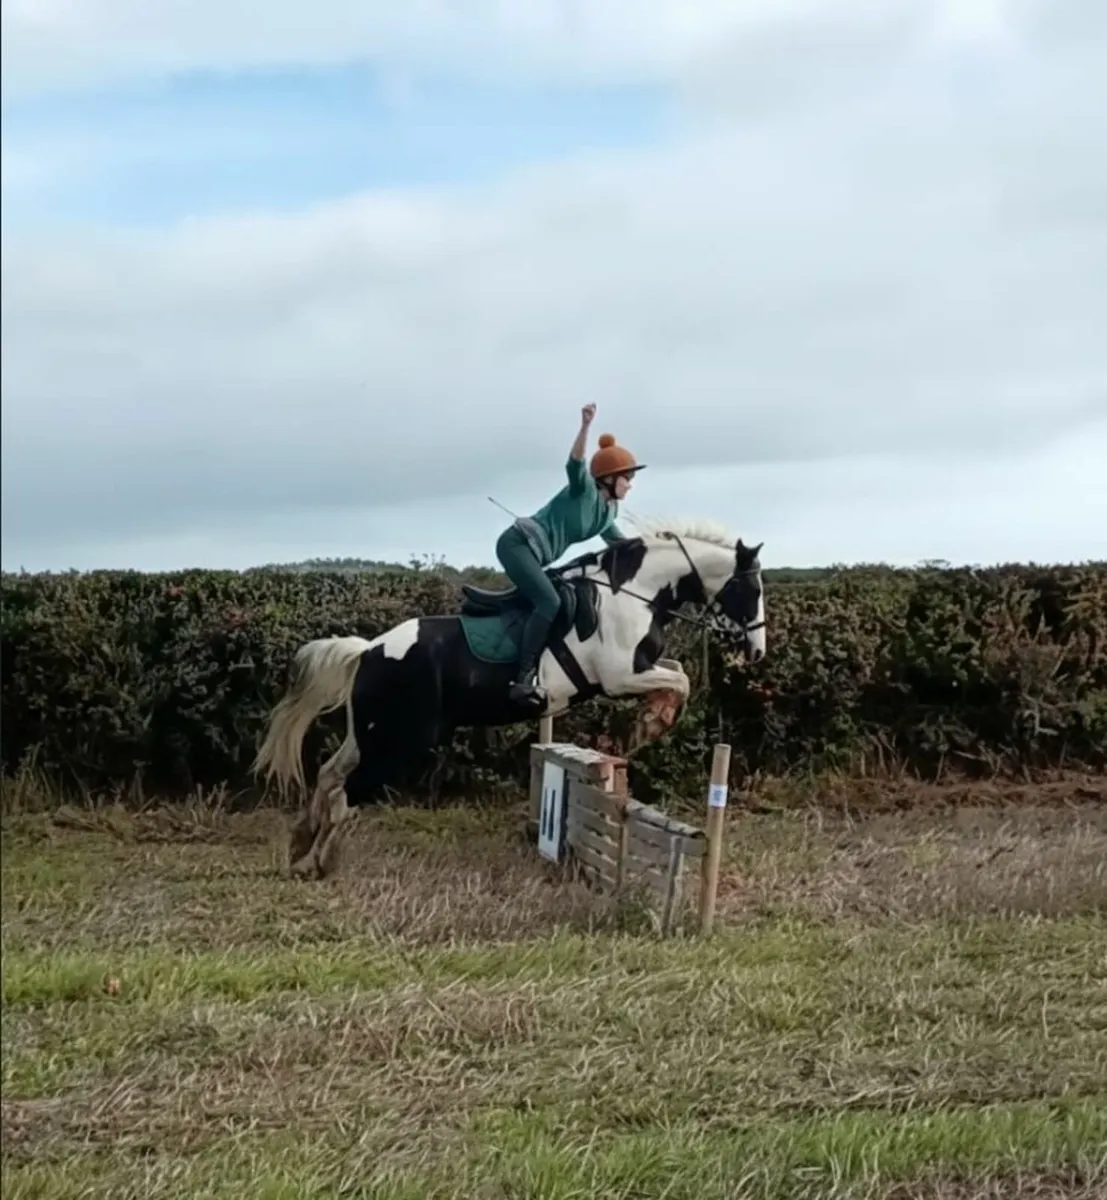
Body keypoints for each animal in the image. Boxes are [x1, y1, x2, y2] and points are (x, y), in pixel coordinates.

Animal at [252, 519, 767, 877]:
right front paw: (652, 722)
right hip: (403, 741)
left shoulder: (636, 670)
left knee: (329, 774)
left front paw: (654, 716)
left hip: (372, 733)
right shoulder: (619, 675)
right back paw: (321, 861)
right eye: (751, 589)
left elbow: (677, 673)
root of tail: (369, 650)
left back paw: (302, 844)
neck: (634, 593)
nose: (758, 651)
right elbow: (680, 681)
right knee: (349, 792)